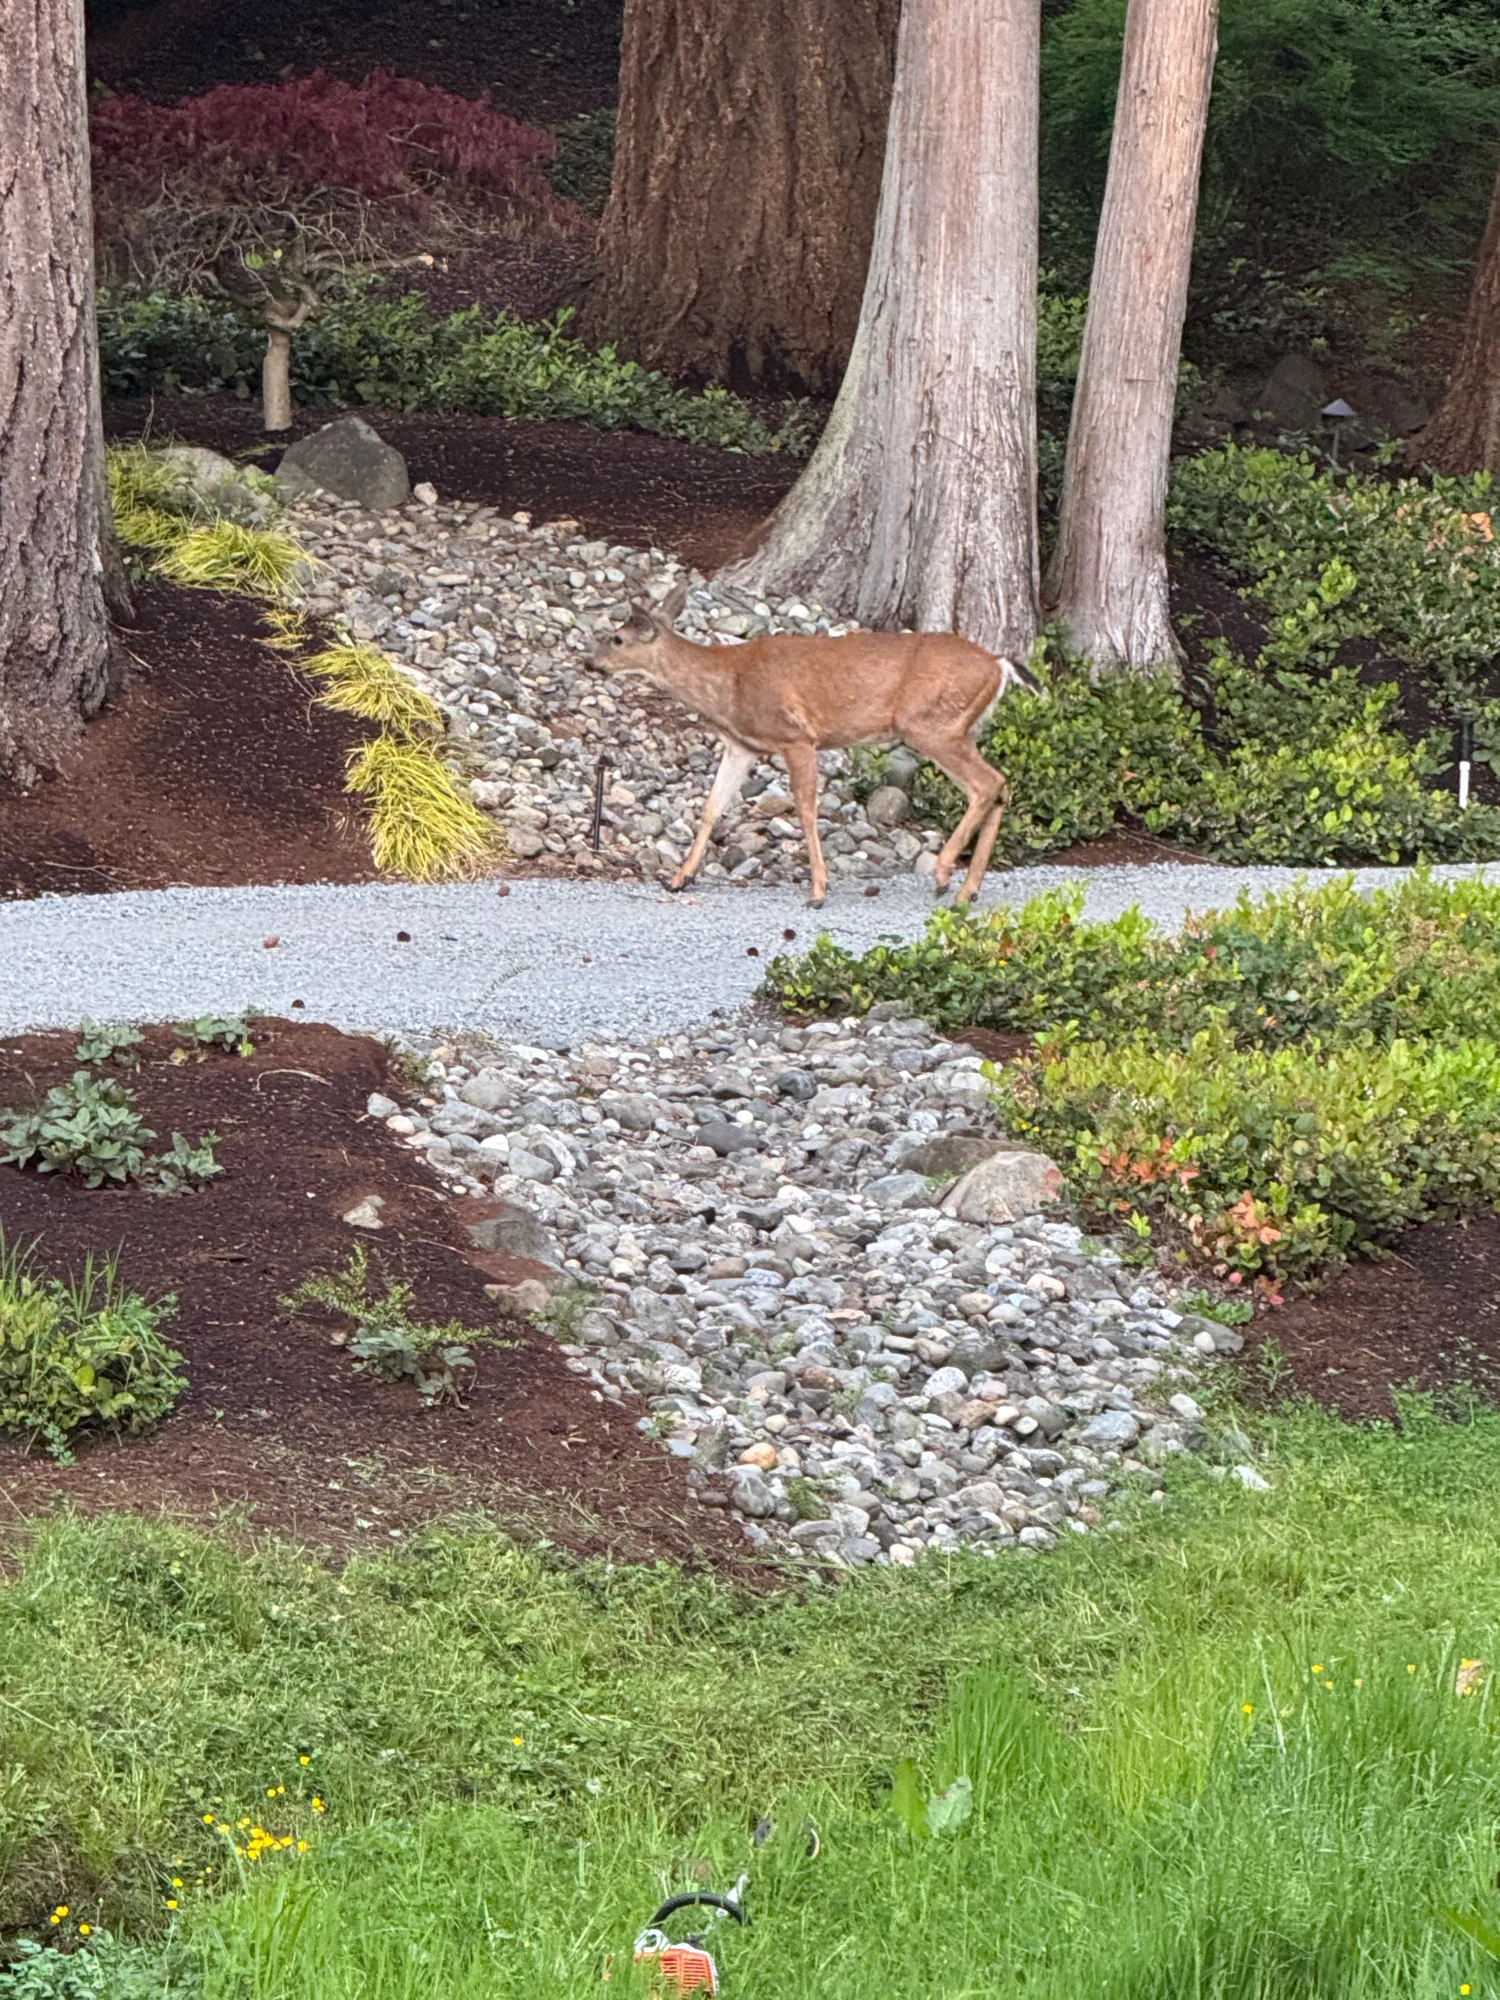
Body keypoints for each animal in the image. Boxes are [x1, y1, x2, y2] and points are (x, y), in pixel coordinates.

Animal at [588, 583, 1041, 907]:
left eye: (617, 638)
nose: (590, 663)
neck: (729, 685)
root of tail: (998, 664)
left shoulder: (797, 737)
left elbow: (806, 810)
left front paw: (818, 890)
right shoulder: (743, 746)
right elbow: (711, 808)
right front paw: (679, 878)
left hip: (932, 726)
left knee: (986, 784)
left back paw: (945, 874)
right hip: (961, 729)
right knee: (1000, 785)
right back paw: (969, 889)